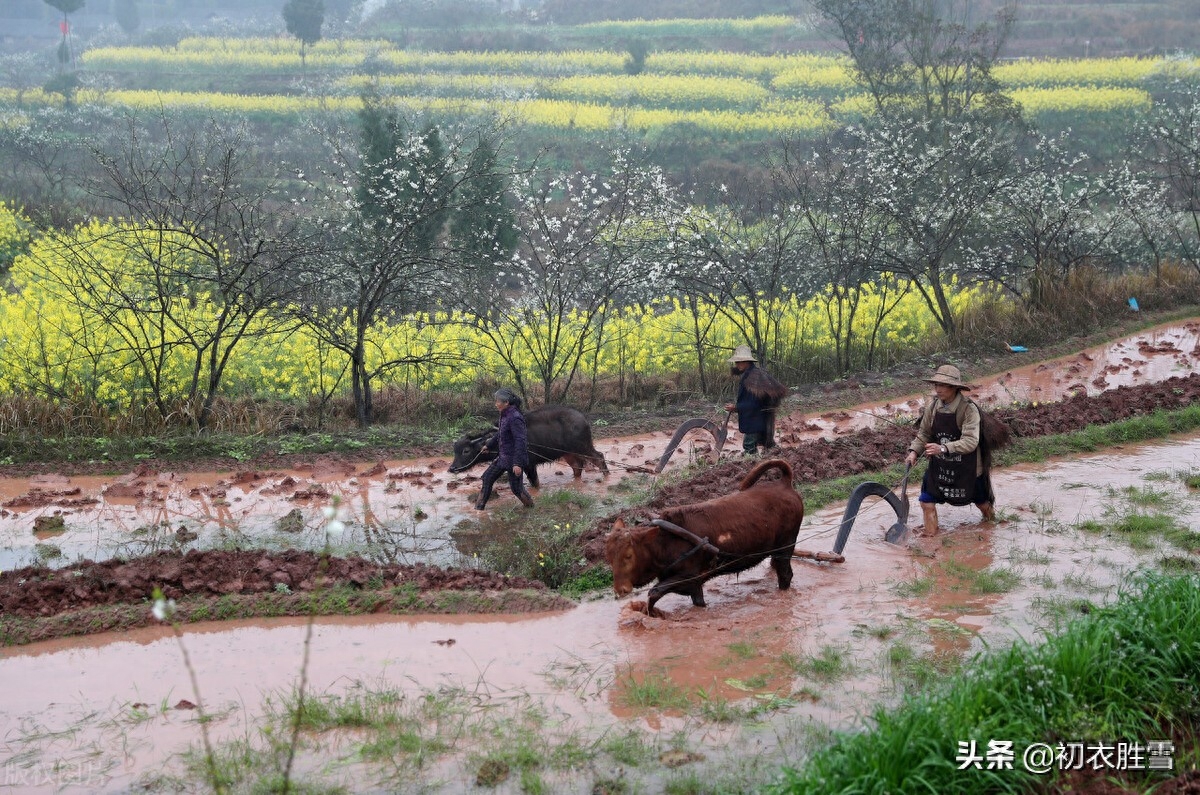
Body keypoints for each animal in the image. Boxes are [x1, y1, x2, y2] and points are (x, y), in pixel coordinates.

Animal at [451, 408, 609, 489]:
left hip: (583, 447)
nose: (452, 468)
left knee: (599, 457)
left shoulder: (529, 464)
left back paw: (606, 476)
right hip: (569, 453)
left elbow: (535, 482)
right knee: (577, 467)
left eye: (466, 450)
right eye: (455, 451)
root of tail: (583, 420)